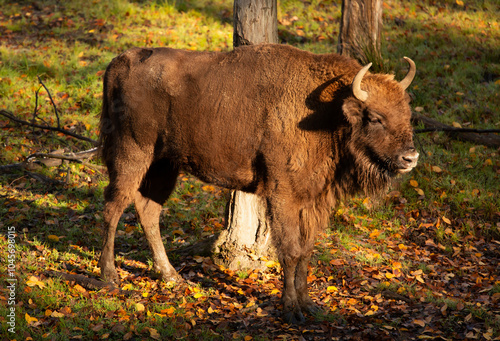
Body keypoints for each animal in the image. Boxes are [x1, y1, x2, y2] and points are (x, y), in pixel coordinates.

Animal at [97, 43, 418, 322]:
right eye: (374, 118)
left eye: (408, 114)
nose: (410, 157)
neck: (329, 112)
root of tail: (119, 62)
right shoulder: (283, 195)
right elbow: (290, 251)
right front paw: (291, 310)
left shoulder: (314, 200)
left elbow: (306, 251)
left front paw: (308, 304)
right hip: (132, 154)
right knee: (113, 207)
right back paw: (109, 277)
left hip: (164, 164)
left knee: (148, 211)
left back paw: (172, 277)